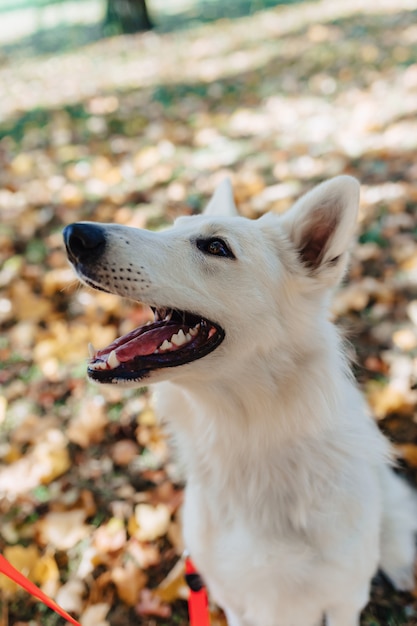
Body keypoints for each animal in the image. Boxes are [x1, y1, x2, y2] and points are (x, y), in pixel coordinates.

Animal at [63, 177, 414, 624]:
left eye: (215, 246)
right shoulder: (231, 598)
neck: (246, 436)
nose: (74, 235)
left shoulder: (344, 600)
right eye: (171, 227)